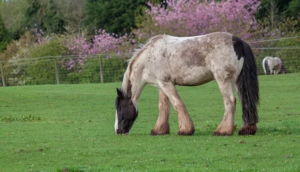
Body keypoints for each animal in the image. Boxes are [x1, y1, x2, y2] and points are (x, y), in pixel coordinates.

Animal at [113, 32, 258, 136]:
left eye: (119, 108)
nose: (118, 131)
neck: (150, 57)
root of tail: (238, 41)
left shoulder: (166, 83)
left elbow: (178, 104)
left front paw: (185, 130)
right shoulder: (162, 85)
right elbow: (163, 107)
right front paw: (159, 130)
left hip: (223, 80)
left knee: (230, 102)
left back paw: (222, 131)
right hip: (238, 82)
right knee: (245, 102)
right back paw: (247, 129)